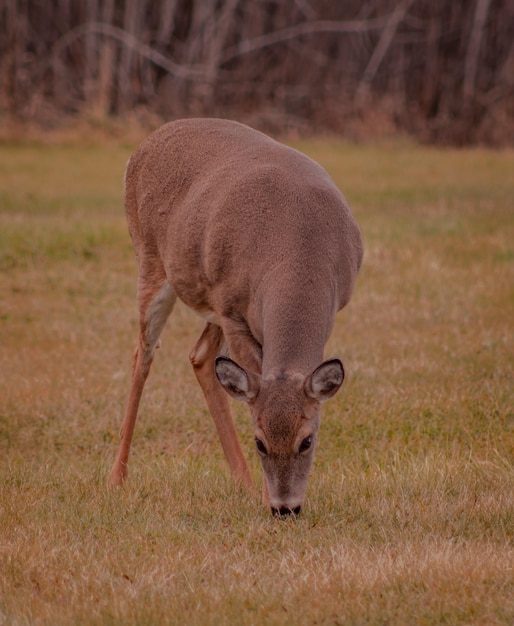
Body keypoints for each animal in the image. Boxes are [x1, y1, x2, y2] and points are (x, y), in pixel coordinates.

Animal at [109, 118, 362, 516]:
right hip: (151, 263)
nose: (285, 509)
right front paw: (265, 496)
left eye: (307, 440)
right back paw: (116, 478)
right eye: (259, 441)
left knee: (199, 356)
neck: (300, 249)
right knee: (143, 354)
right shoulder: (234, 313)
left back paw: (242, 482)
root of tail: (143, 145)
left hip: (211, 300)